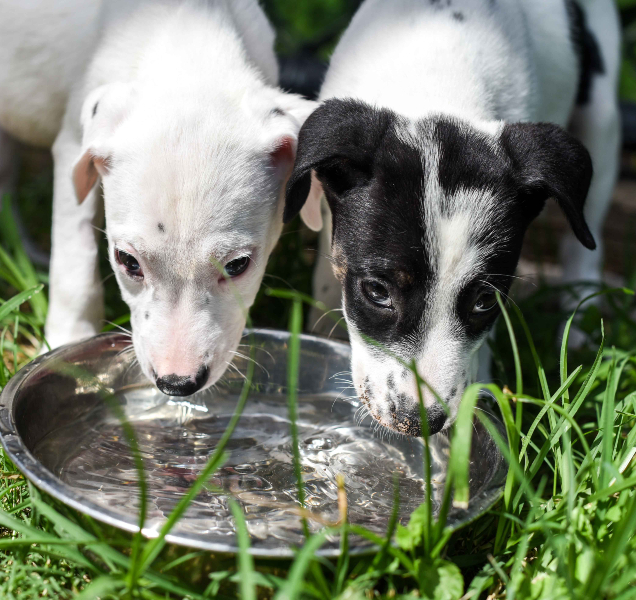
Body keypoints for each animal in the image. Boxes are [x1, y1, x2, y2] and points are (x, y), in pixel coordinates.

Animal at [0, 0, 315, 395]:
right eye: (127, 261)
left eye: (238, 265)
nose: (176, 384)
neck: (189, 39)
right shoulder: (73, 145)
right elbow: (75, 263)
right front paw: (66, 339)